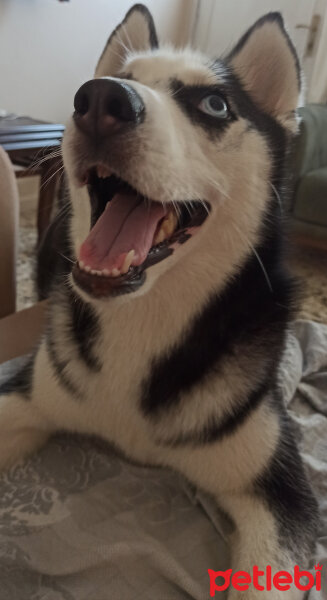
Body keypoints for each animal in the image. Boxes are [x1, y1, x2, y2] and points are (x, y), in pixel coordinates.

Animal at [0, 5, 318, 600]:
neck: (142, 320)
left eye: (215, 104)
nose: (100, 99)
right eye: (121, 77)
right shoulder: (28, 392)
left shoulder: (280, 492)